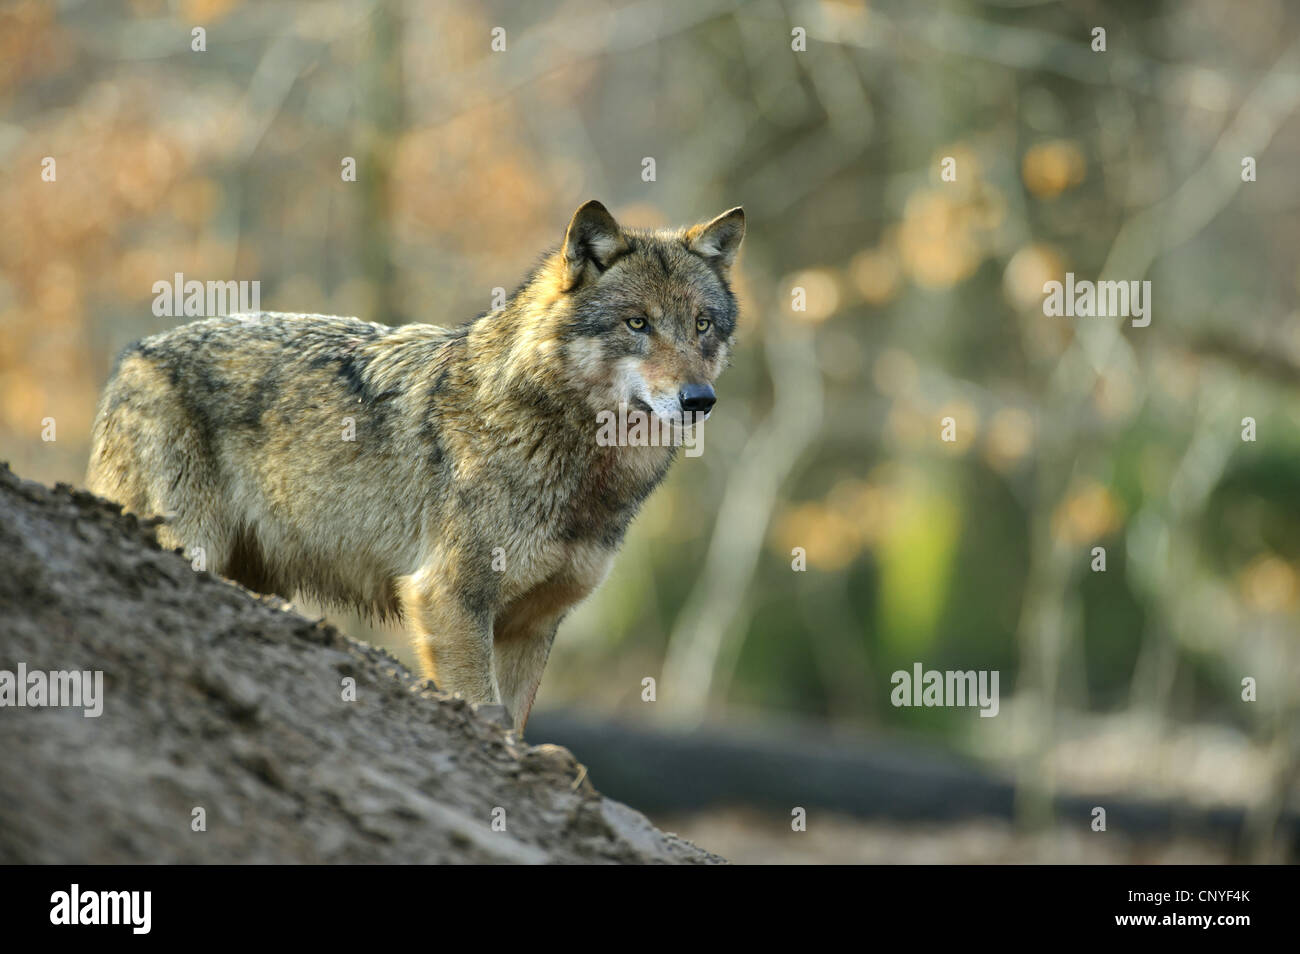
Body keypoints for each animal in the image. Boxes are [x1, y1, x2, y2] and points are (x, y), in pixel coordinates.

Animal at [86, 201, 748, 733]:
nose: (700, 400)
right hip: (192, 545)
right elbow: (484, 709)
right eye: (637, 323)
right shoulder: (447, 597)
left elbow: (516, 725)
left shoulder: (533, 625)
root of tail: (132, 358)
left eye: (701, 325)